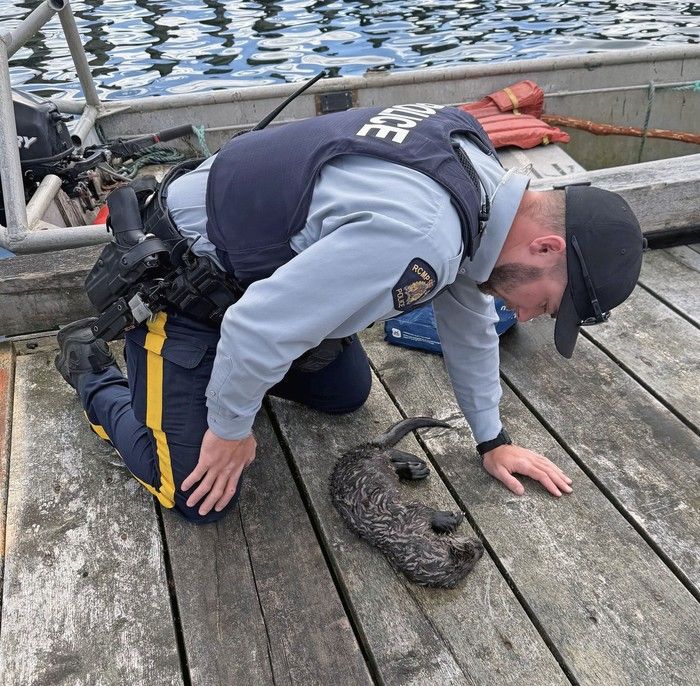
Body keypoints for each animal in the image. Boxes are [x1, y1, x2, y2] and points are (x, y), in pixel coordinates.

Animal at [330, 417, 483, 588]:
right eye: (471, 550)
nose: (481, 547)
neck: (403, 537)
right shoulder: (414, 514)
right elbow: (427, 511)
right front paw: (451, 519)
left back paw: (415, 469)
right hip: (372, 457)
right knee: (388, 452)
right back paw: (416, 462)